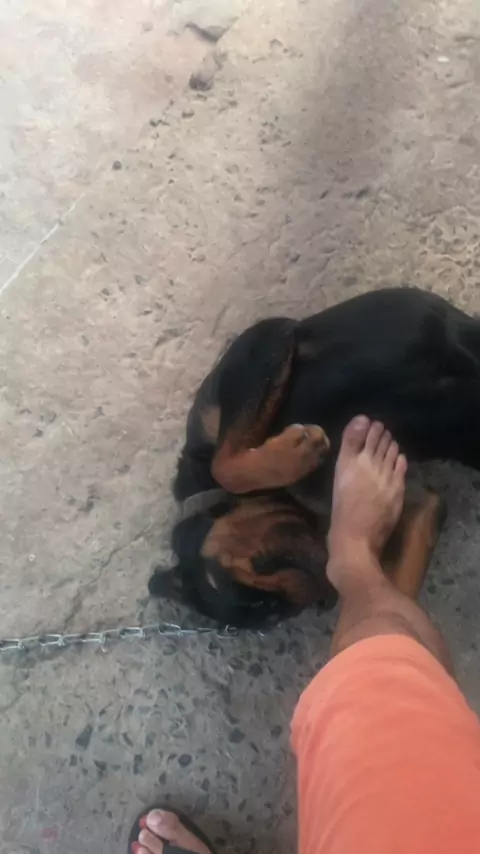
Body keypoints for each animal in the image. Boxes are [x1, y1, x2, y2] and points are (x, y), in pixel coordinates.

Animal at [149, 287, 480, 627]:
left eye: (256, 598)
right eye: (277, 615)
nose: (325, 598)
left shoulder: (263, 343)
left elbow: (223, 465)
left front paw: (296, 451)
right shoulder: (417, 504)